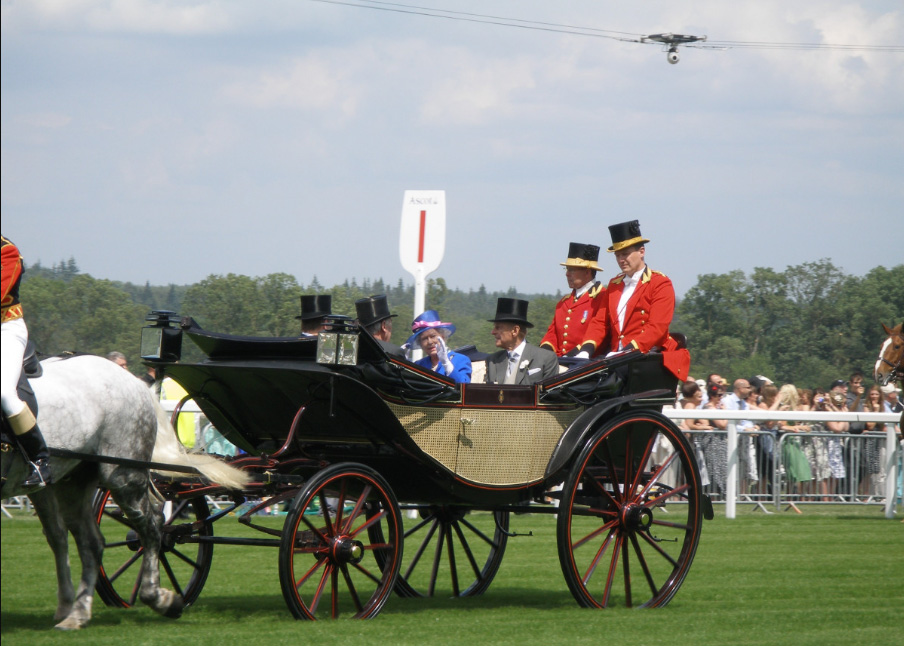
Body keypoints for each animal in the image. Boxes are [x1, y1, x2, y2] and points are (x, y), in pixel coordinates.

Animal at [0, 354, 247, 632]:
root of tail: (136, 383)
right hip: (68, 481)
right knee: (84, 540)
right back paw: (76, 612)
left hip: (123, 477)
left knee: (151, 528)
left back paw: (158, 599)